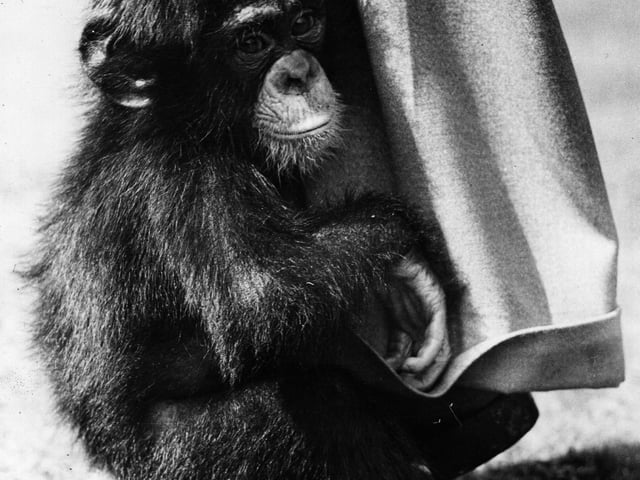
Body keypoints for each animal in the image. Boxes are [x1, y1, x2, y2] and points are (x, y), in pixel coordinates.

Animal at [27, 1, 456, 479]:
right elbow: (260, 294)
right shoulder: (185, 180)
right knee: (318, 401)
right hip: (184, 456)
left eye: (303, 23)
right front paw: (411, 257)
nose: (298, 72)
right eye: (251, 43)